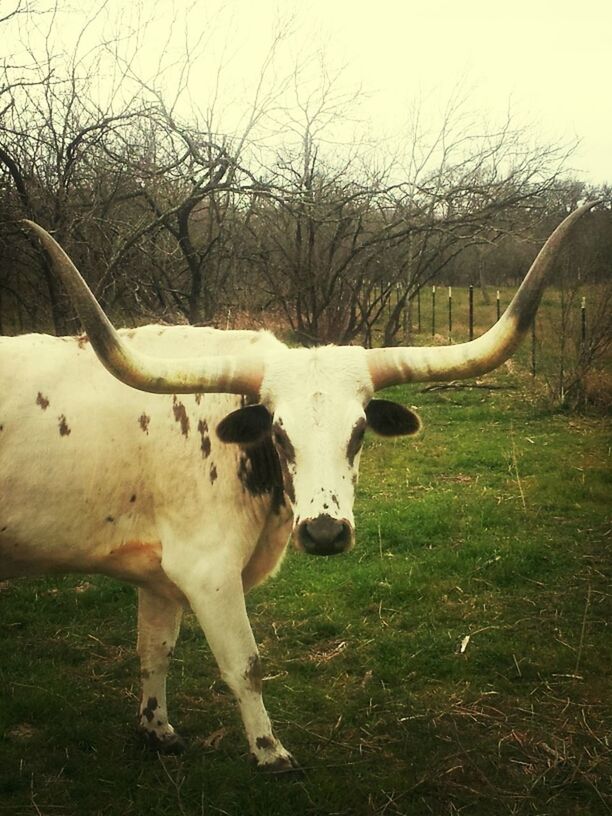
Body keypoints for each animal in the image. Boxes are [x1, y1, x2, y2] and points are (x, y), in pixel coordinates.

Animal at [0, 204, 600, 772]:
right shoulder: (207, 571)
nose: (325, 532)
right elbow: (245, 666)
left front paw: (157, 729)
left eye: (359, 431)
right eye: (280, 433)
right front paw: (270, 752)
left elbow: (155, 650)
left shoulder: (157, 572)